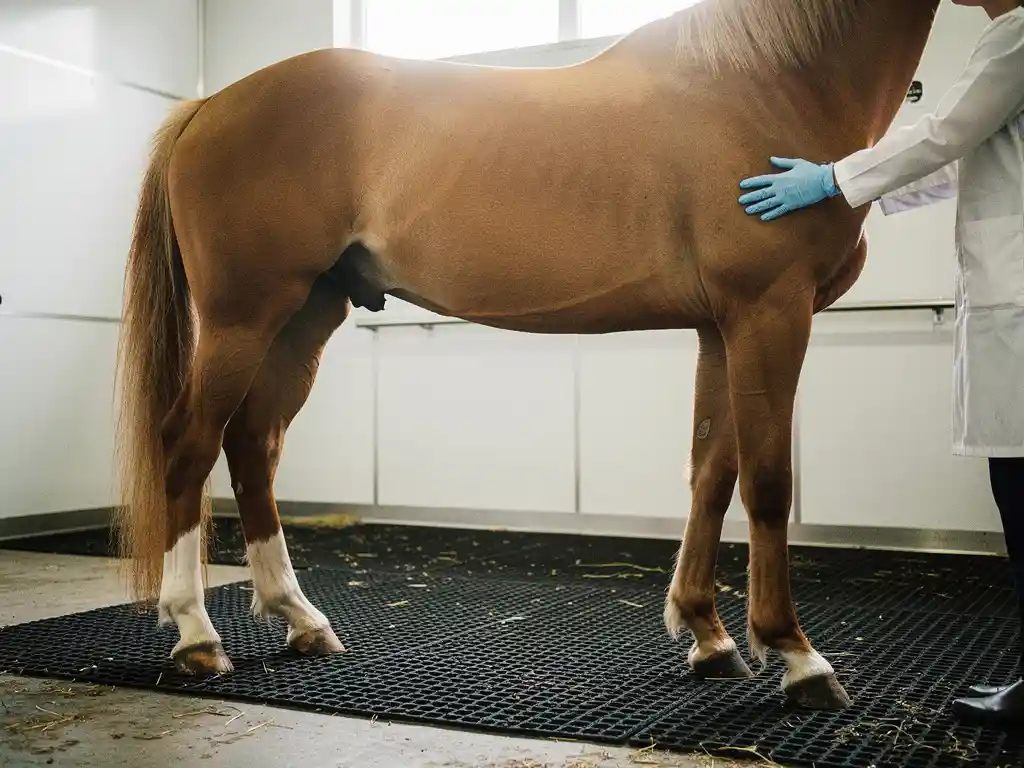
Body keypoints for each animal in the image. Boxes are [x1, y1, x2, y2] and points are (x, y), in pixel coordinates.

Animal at [112, 0, 942, 711]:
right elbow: (769, 483)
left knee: (253, 445)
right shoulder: (769, 311)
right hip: (242, 318)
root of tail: (205, 107)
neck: (771, 80)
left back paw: (301, 619)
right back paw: (197, 636)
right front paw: (799, 658)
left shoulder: (721, 327)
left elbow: (711, 474)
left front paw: (708, 638)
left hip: (304, 318)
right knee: (189, 444)